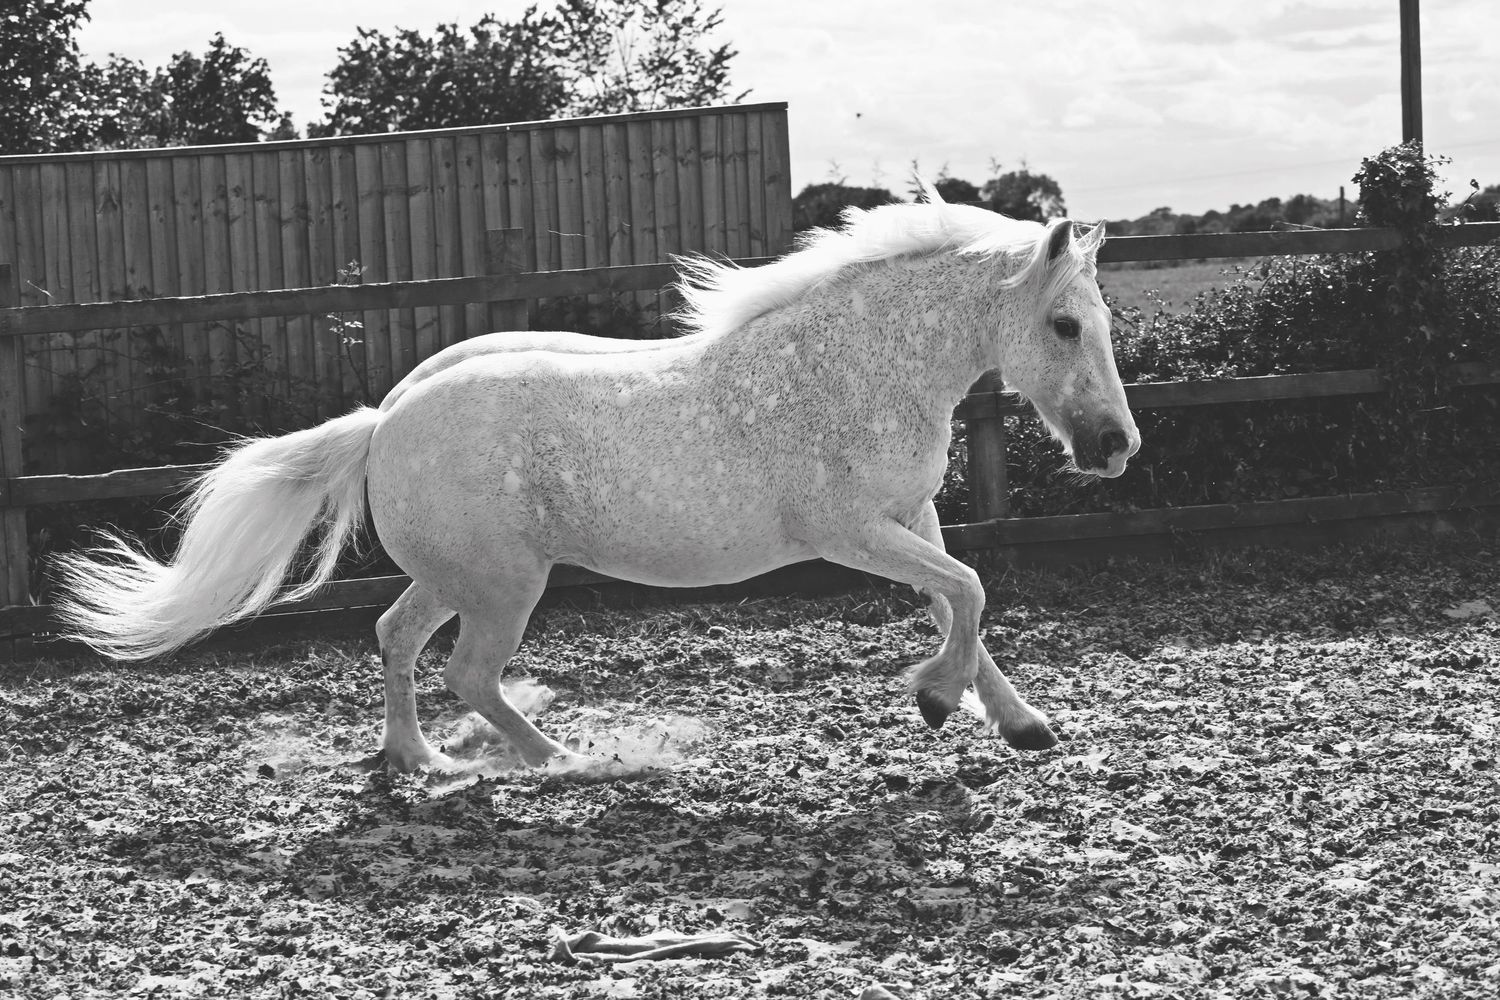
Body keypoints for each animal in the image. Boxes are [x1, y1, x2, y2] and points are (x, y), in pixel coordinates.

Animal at [53, 188, 1139, 773]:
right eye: (1063, 325)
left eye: (1100, 321)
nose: (1117, 445)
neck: (853, 368)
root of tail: (382, 422)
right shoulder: (850, 530)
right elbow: (972, 590)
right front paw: (935, 699)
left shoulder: (909, 515)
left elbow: (963, 600)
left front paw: (1019, 722)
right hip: (503, 586)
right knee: (466, 671)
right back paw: (559, 762)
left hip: (456, 577)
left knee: (395, 637)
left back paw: (419, 759)